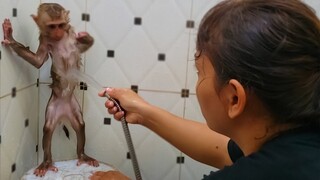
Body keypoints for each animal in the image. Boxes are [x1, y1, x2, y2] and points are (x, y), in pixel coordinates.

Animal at [1, 2, 99, 176]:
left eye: (61, 25)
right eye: (52, 26)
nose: (58, 32)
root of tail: (64, 111)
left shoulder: (70, 33)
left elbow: (82, 46)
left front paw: (84, 37)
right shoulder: (45, 39)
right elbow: (38, 61)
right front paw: (10, 37)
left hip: (73, 107)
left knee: (80, 124)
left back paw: (83, 155)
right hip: (53, 107)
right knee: (48, 128)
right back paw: (46, 163)